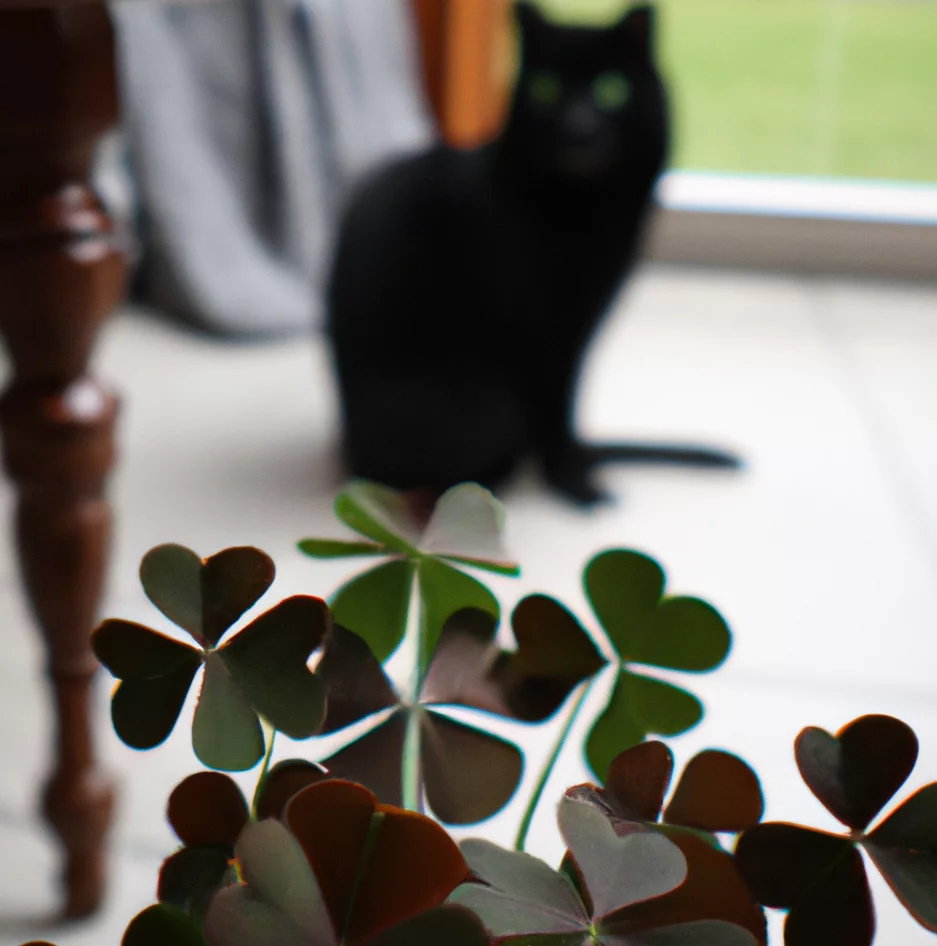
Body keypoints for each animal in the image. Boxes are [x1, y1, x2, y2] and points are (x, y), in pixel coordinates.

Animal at [330, 3, 740, 506]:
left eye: (611, 89)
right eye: (546, 89)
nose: (579, 125)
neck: (583, 215)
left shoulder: (582, 326)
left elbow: (567, 404)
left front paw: (573, 469)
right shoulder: (536, 333)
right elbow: (555, 405)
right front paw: (574, 483)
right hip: (483, 399)